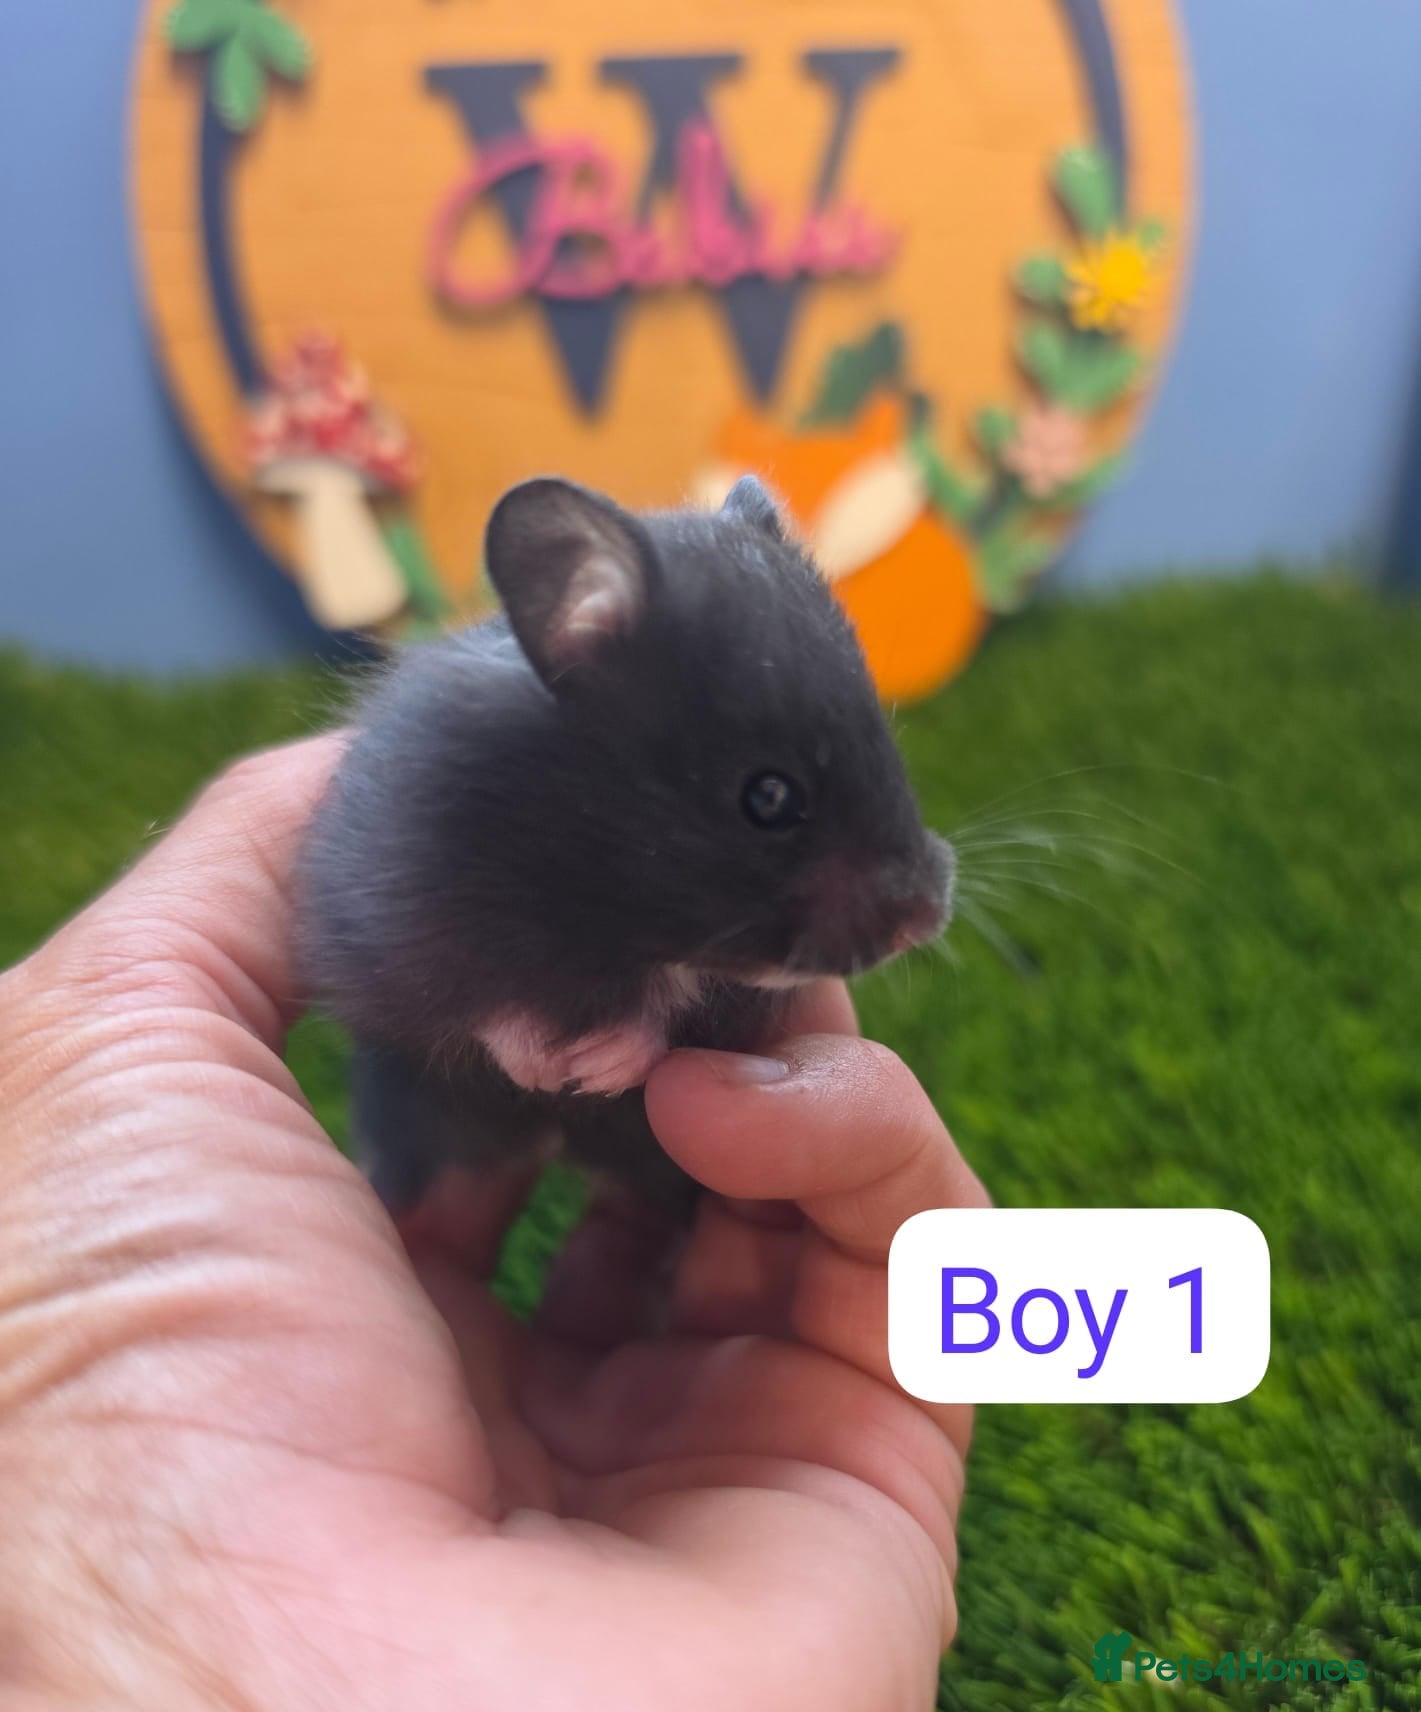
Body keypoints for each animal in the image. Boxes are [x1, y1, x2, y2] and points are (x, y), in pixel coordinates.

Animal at [297, 474, 953, 1219]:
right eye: (769, 797)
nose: (924, 921)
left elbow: (671, 1012)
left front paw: (595, 1069)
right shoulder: (392, 921)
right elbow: (477, 1009)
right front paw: (547, 1067)